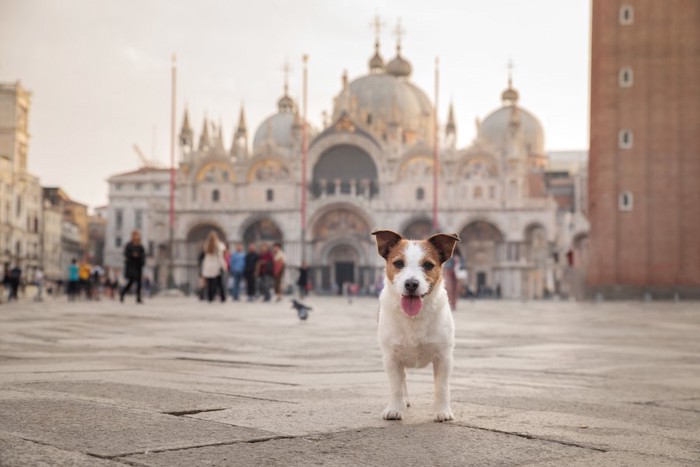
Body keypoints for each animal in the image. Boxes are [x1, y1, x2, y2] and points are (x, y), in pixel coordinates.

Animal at [370, 230, 462, 424]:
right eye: (398, 263)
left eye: (428, 265)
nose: (411, 283)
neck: (414, 317)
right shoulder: (391, 358)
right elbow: (396, 386)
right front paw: (394, 409)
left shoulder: (444, 357)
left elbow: (441, 387)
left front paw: (442, 411)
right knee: (403, 381)